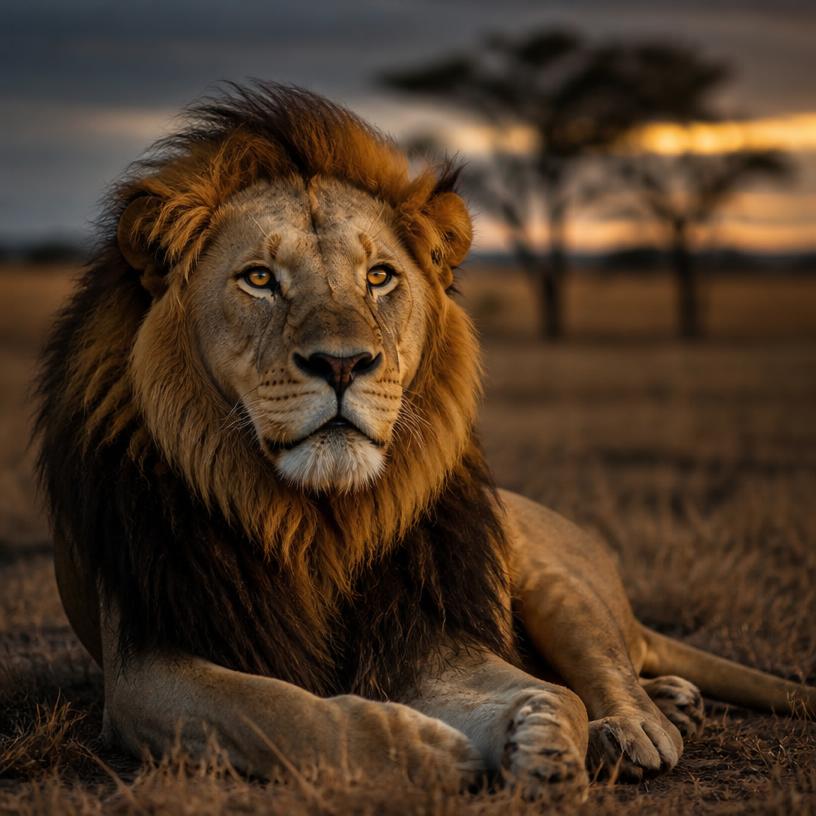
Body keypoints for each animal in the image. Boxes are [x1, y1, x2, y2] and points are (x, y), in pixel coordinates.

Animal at [36, 82, 814, 799]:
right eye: (259, 278)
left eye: (380, 277)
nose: (343, 364)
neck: (322, 520)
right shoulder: (147, 667)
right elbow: (276, 710)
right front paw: (426, 750)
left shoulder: (425, 629)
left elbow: (551, 691)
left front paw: (543, 737)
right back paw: (672, 703)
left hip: (543, 569)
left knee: (612, 670)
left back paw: (638, 726)